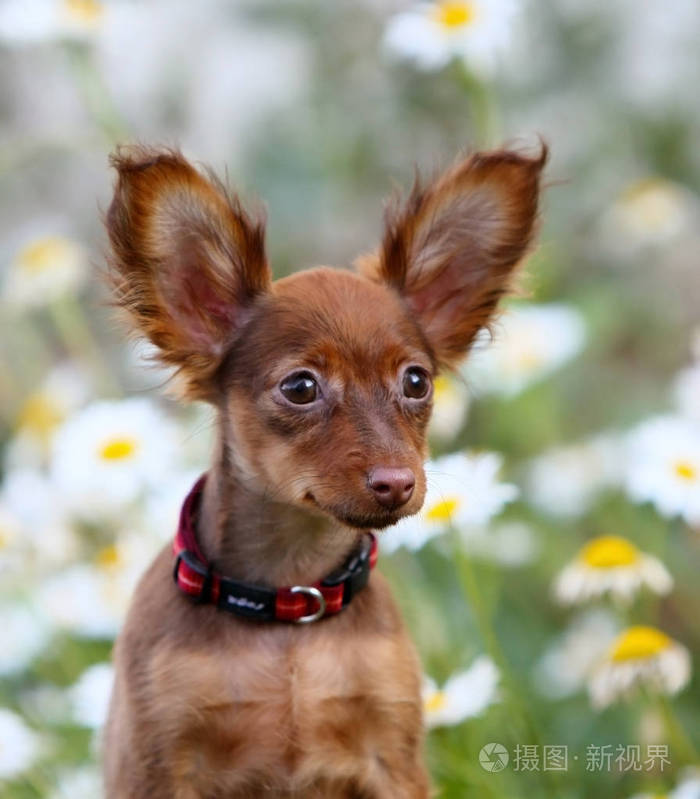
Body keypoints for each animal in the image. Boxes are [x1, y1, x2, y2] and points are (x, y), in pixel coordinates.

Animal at [102, 145, 548, 799]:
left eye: (417, 381)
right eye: (300, 388)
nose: (398, 483)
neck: (292, 604)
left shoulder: (393, 761)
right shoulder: (158, 767)